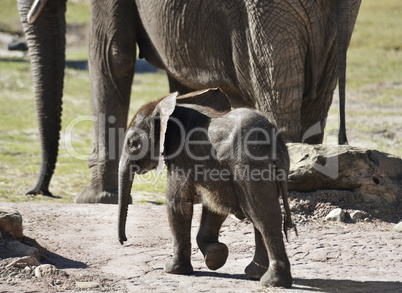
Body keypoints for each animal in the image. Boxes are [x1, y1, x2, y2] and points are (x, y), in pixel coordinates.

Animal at [118, 88, 294, 286]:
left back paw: (272, 282)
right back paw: (255, 275)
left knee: (264, 217)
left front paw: (172, 270)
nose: (124, 240)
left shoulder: (181, 157)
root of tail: (277, 145)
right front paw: (215, 256)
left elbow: (177, 204)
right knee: (260, 216)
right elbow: (214, 204)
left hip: (250, 167)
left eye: (133, 144)